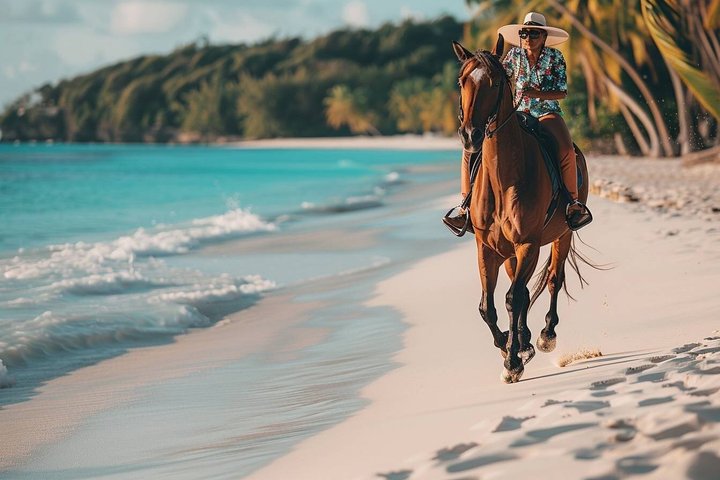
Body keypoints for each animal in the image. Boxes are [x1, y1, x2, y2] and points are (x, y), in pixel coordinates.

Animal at [452, 35, 592, 383]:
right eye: (462, 81)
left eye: (495, 81)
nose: (470, 136)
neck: (504, 178)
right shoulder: (487, 248)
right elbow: (488, 307)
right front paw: (509, 346)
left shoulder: (528, 243)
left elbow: (513, 298)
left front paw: (513, 361)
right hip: (509, 253)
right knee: (525, 290)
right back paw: (524, 339)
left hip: (562, 235)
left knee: (553, 279)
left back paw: (544, 335)